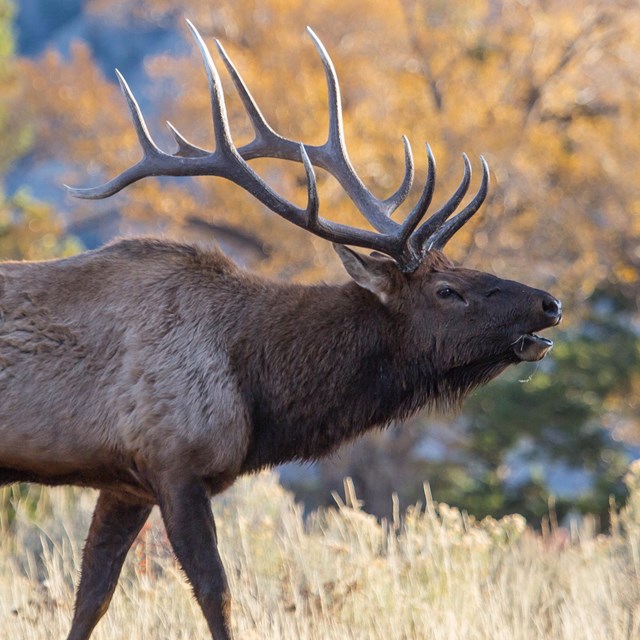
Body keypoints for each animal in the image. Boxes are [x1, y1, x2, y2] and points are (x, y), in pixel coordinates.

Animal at [0, 21, 560, 640]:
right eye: (447, 291)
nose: (548, 303)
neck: (258, 389)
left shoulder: (125, 480)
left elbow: (91, 598)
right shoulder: (175, 461)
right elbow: (216, 593)